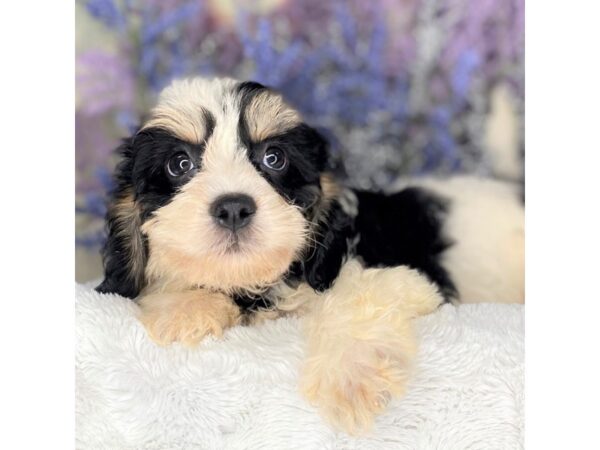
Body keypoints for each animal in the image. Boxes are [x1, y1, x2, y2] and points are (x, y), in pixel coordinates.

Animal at [96, 75, 524, 434]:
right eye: (180, 163)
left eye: (274, 158)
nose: (233, 207)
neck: (259, 287)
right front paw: (187, 308)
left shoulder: (407, 279)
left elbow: (354, 296)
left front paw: (352, 376)